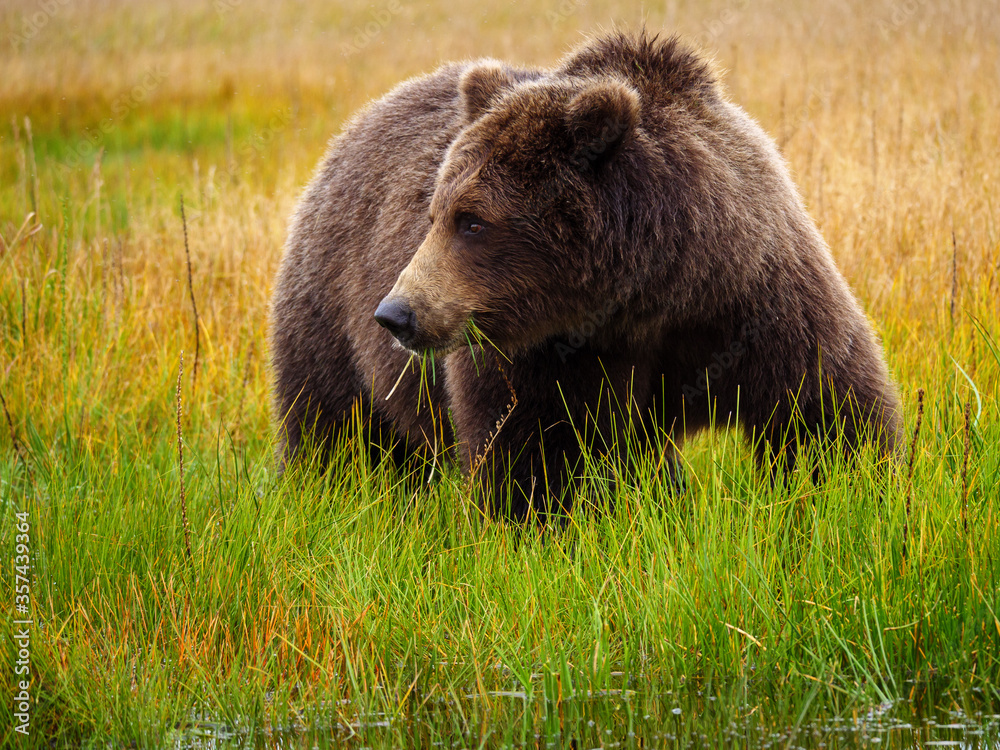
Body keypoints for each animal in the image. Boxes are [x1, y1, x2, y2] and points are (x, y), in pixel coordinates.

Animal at [270, 32, 904, 520]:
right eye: (435, 214)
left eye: (472, 221)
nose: (397, 313)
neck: (644, 296)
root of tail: (358, 122)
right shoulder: (531, 353)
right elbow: (530, 453)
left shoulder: (753, 295)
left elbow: (826, 411)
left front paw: (854, 498)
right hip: (329, 310)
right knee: (340, 432)